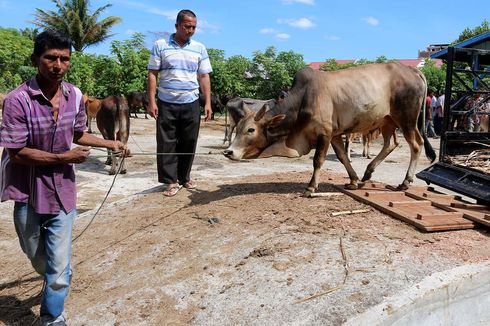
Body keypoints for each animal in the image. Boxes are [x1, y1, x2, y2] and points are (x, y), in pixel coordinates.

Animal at [224, 64, 434, 196]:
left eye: (251, 130)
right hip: (387, 121)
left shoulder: (324, 133)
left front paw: (310, 187)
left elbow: (318, 160)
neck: (304, 99)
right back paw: (367, 173)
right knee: (391, 144)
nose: (228, 152)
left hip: (406, 120)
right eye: (238, 128)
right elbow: (342, 157)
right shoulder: (334, 135)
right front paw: (353, 181)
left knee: (416, 145)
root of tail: (414, 70)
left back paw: (405, 182)